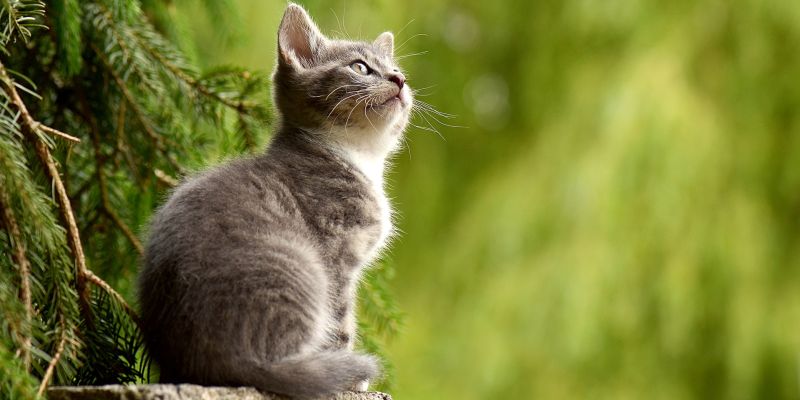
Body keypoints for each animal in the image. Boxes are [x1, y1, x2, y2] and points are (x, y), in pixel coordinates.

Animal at [137, 3, 410, 396]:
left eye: (397, 69)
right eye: (360, 67)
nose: (399, 80)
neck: (356, 155)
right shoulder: (337, 257)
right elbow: (341, 321)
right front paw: (351, 377)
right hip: (303, 269)